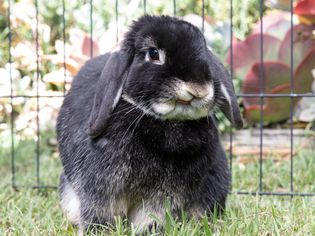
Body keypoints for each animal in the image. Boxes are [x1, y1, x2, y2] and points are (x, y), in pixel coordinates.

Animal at [57, 15, 244, 234]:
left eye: (203, 49)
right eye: (153, 53)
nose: (198, 88)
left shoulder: (165, 195)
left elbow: (152, 215)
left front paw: (150, 230)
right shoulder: (100, 188)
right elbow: (99, 212)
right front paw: (99, 231)